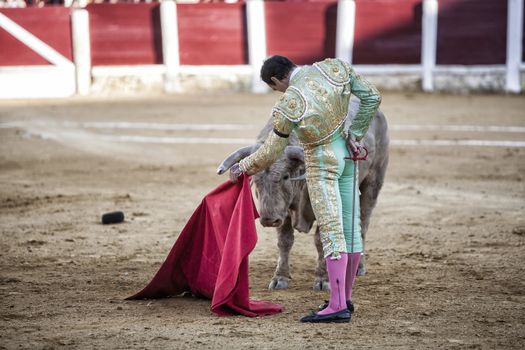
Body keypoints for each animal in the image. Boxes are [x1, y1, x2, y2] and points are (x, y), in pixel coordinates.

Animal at [217, 97, 388, 292]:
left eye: (285, 176)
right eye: (254, 179)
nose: (268, 219)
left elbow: (321, 240)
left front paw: (323, 279)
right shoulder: (283, 211)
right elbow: (285, 241)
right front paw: (280, 278)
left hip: (373, 183)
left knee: (363, 224)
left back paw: (358, 267)